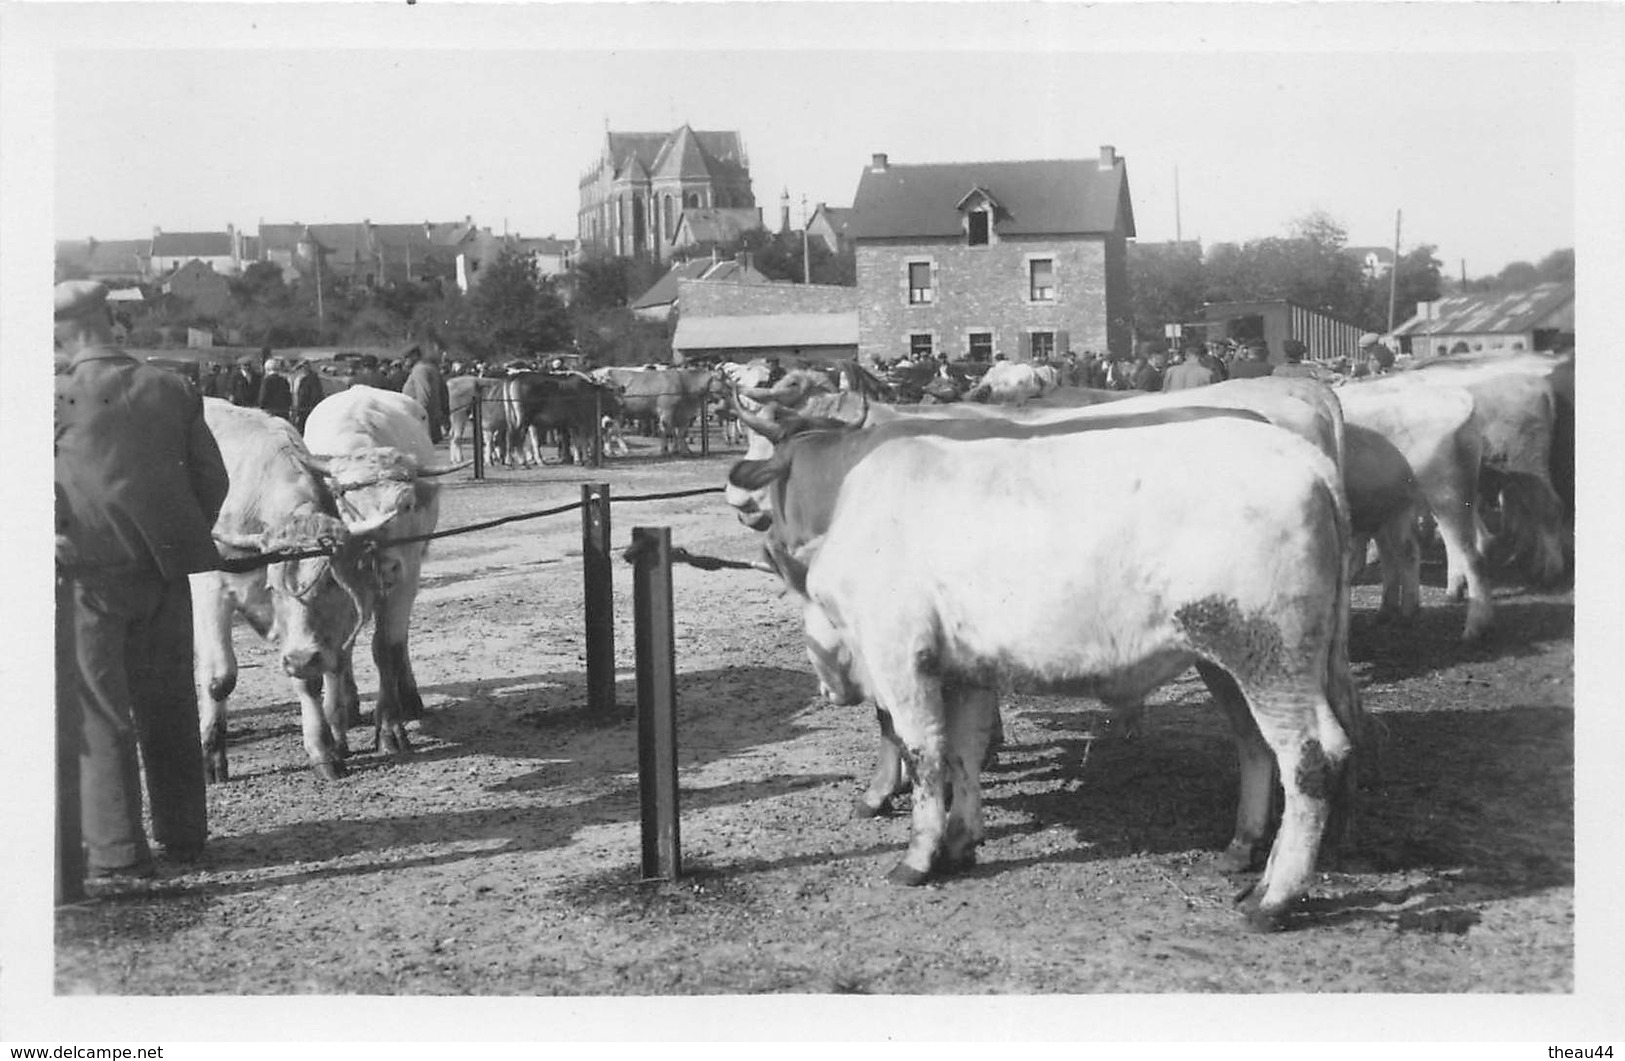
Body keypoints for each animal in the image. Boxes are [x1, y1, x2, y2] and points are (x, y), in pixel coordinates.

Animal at [191, 396, 385, 776]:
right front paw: (211, 758)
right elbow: (221, 678)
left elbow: (313, 677)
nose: (299, 658)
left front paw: (324, 749)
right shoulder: (211, 591)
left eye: (330, 583)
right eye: (273, 588)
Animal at [302, 385, 468, 757]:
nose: (382, 564)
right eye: (344, 504)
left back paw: (409, 697)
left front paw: (390, 725)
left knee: (398, 642)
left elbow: (386, 647)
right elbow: (339, 650)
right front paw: (338, 717)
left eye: (406, 505)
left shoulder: (406, 578)